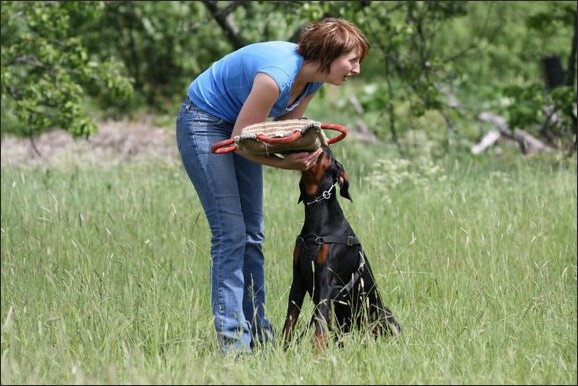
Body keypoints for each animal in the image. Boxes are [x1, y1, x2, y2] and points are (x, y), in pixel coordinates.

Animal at [280, 145, 398, 350]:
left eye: (327, 153)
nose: (325, 144)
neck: (318, 221)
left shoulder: (326, 281)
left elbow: (319, 325)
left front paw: (318, 352)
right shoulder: (298, 280)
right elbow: (290, 320)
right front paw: (283, 350)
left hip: (383, 314)